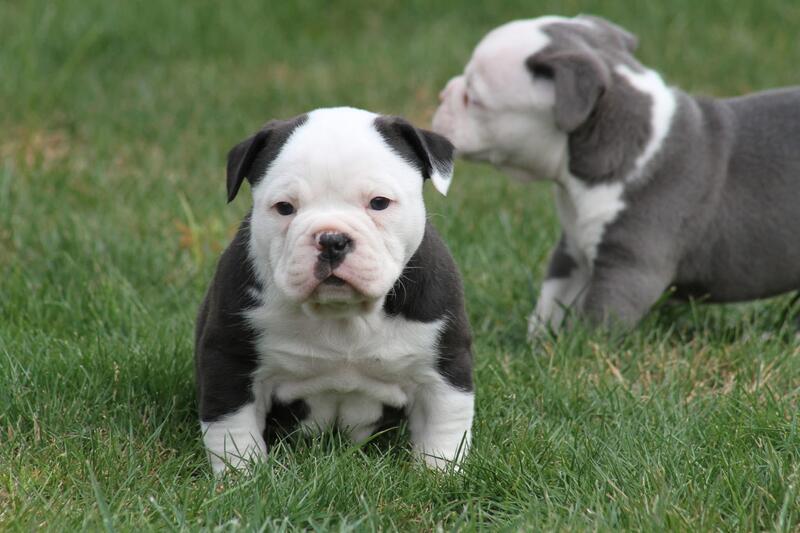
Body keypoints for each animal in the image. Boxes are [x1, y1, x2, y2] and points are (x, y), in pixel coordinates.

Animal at [195, 107, 474, 475]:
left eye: (379, 203)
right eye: (284, 207)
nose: (332, 239)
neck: (344, 314)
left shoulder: (443, 368)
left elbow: (444, 429)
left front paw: (439, 475)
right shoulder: (230, 360)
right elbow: (232, 430)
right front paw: (242, 476)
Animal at [432, 14, 800, 335]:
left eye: (474, 98)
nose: (442, 93)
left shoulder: (627, 267)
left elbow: (599, 320)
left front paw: (583, 352)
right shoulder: (572, 251)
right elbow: (550, 302)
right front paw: (538, 345)